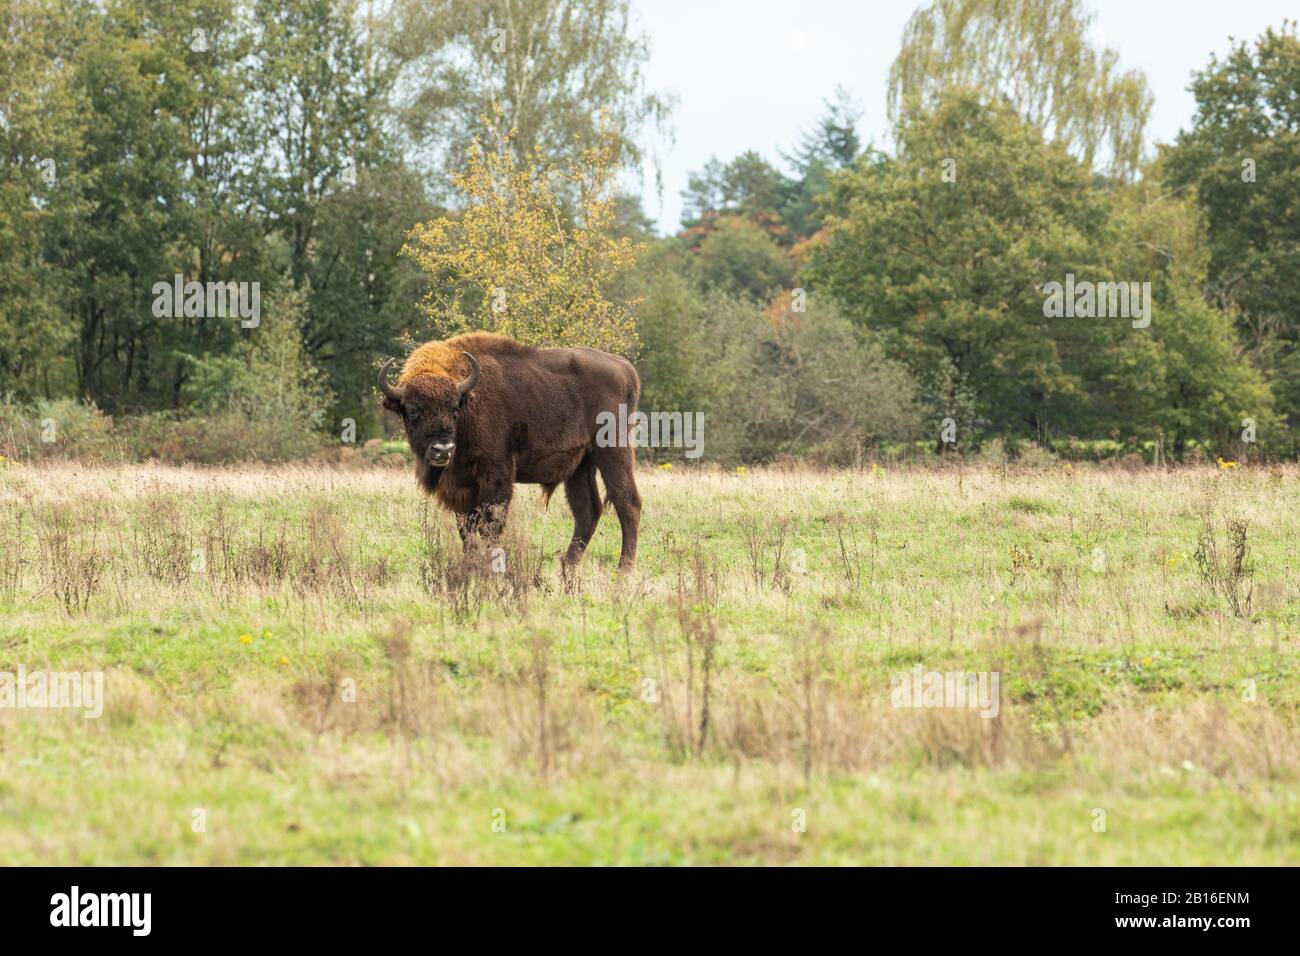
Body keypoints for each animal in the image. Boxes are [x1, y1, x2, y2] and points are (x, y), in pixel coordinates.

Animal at [377, 330, 639, 567]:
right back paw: (567, 568)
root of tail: (626, 369)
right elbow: (467, 531)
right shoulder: (462, 488)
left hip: (613, 452)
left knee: (628, 503)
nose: (442, 449)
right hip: (580, 466)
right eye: (413, 410)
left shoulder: (496, 478)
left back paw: (623, 570)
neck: (468, 399)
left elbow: (491, 527)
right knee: (587, 511)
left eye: (454, 408)